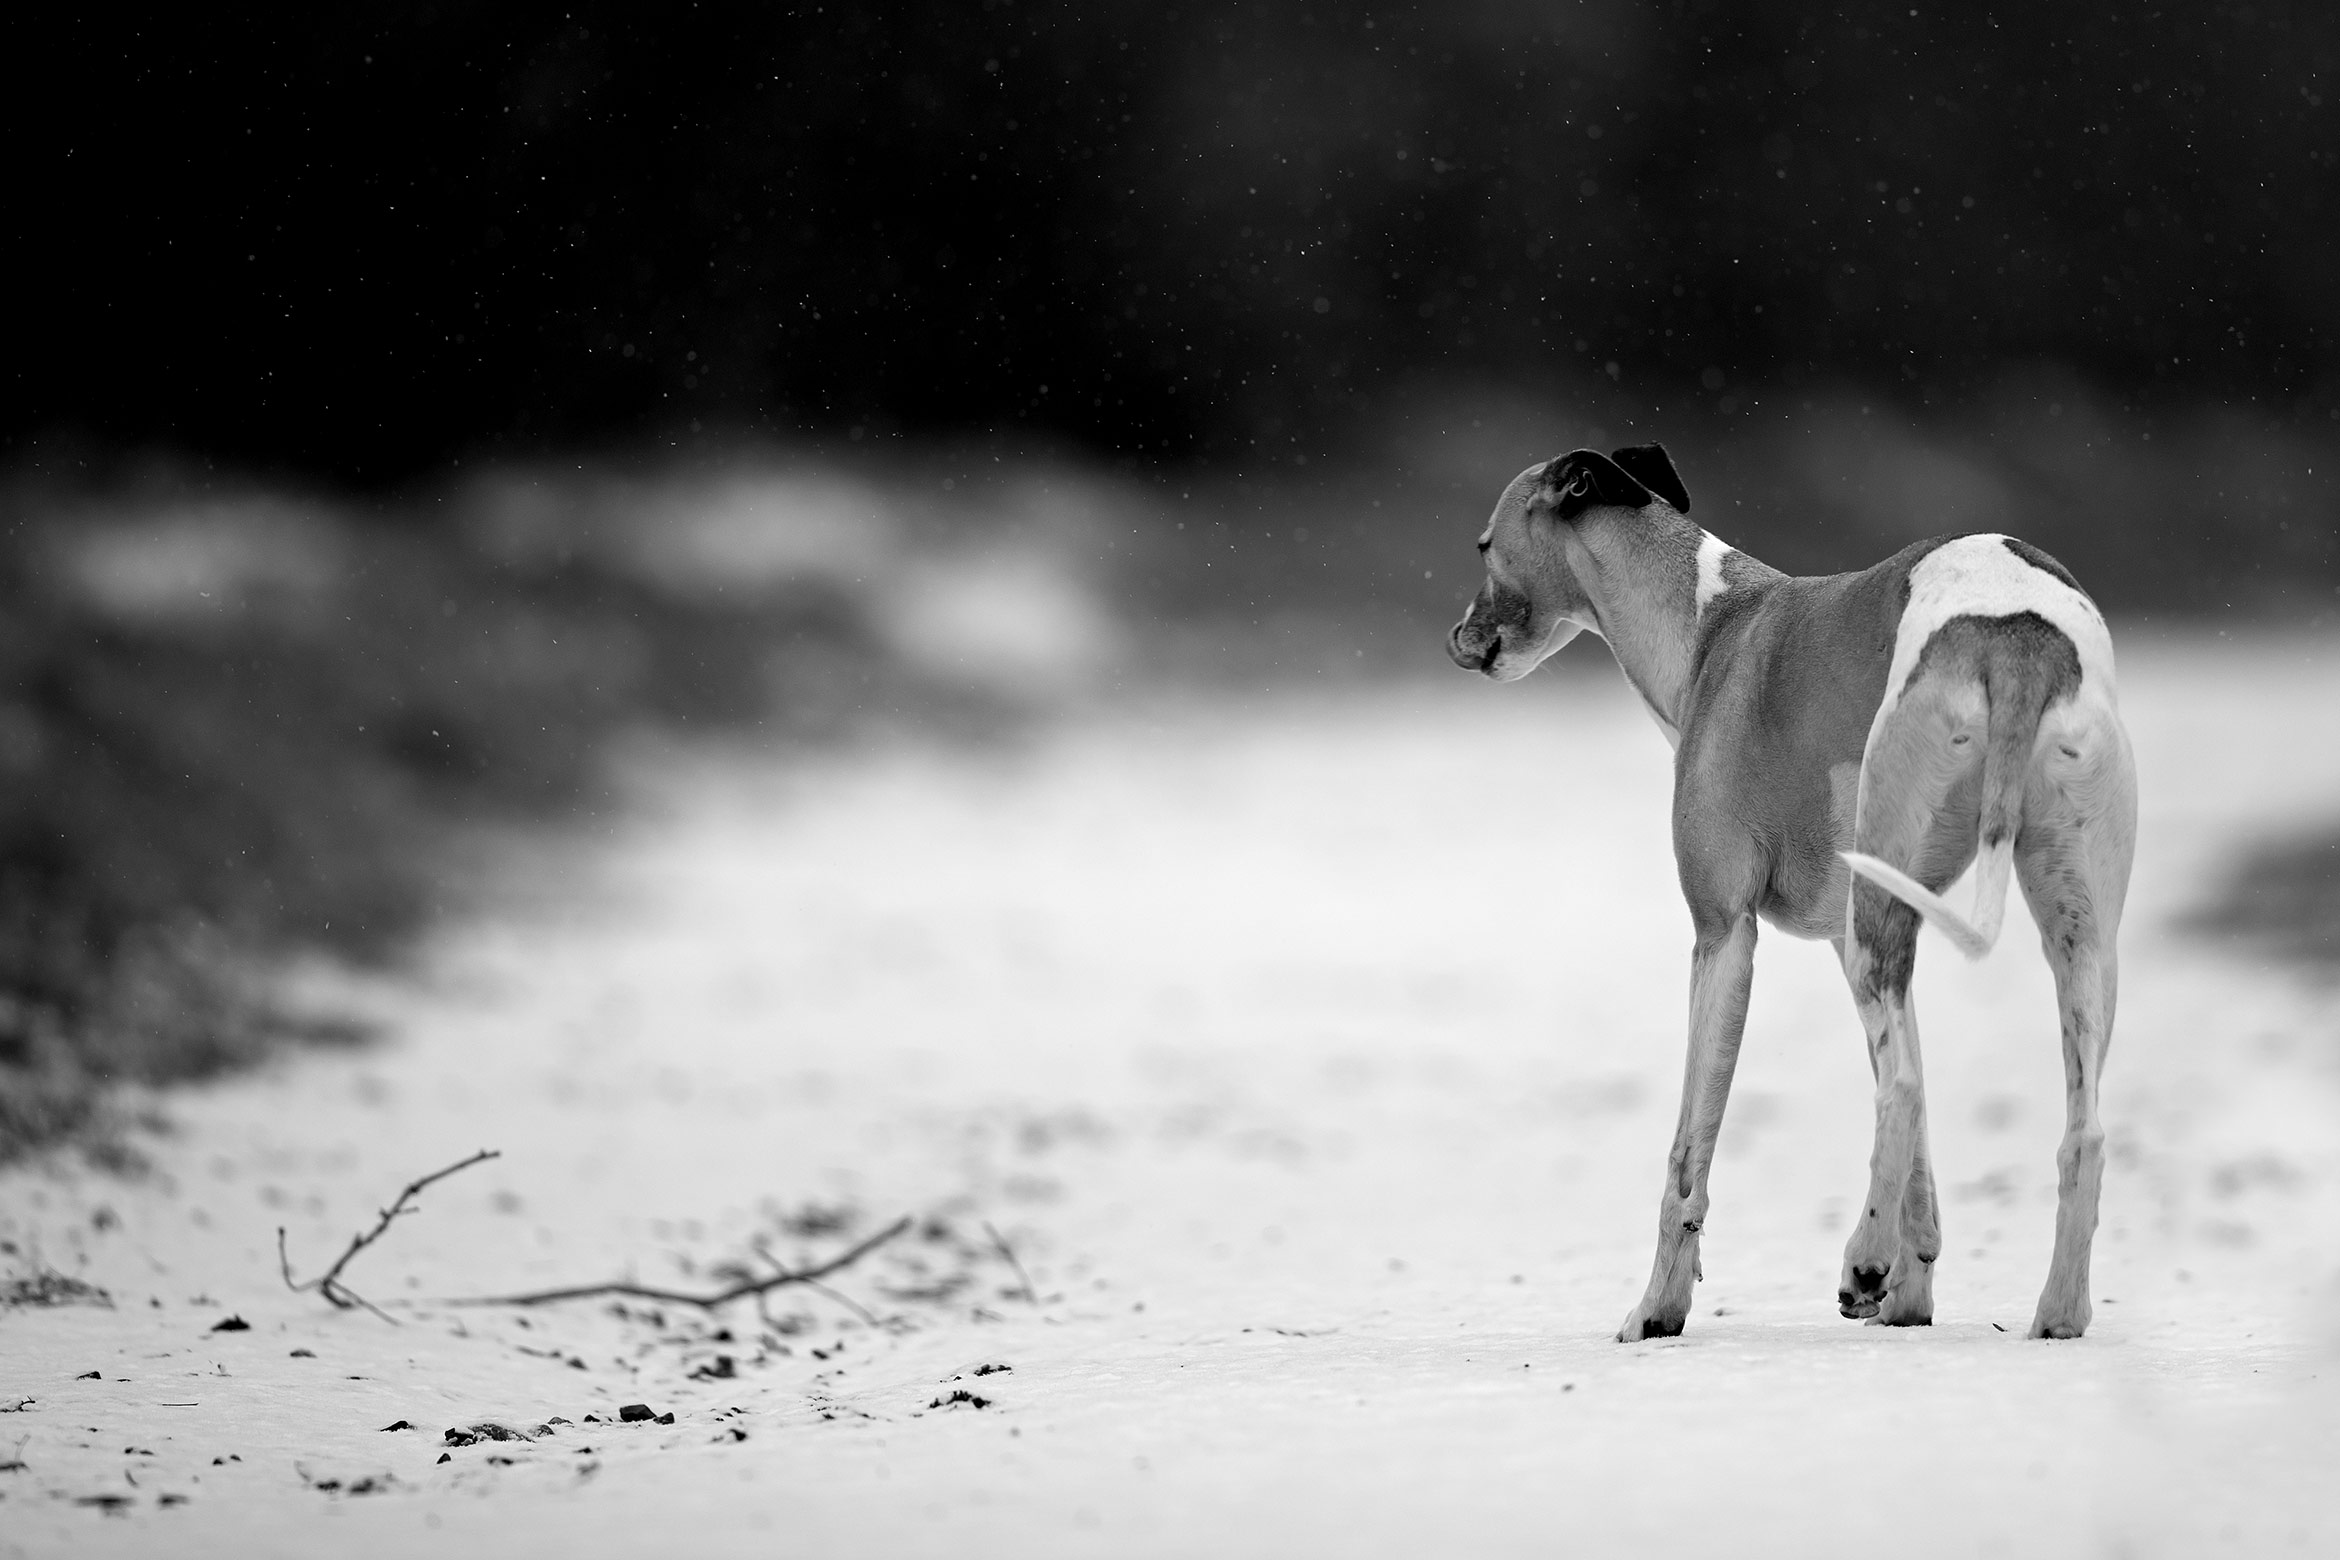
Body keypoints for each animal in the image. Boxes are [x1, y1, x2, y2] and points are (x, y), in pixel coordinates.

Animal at [1450, 442, 2143, 1347]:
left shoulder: (1724, 935)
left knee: (1902, 1091)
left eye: (1485, 546)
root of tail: (2016, 643)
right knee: (2079, 1129)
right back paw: (2055, 1311)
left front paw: (1658, 1309)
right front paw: (1910, 1295)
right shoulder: (1851, 945)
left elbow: (1687, 1156)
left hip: (1884, 901)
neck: (1708, 623)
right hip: (2071, 931)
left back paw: (1862, 1261)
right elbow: (1920, 1163)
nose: (1457, 640)